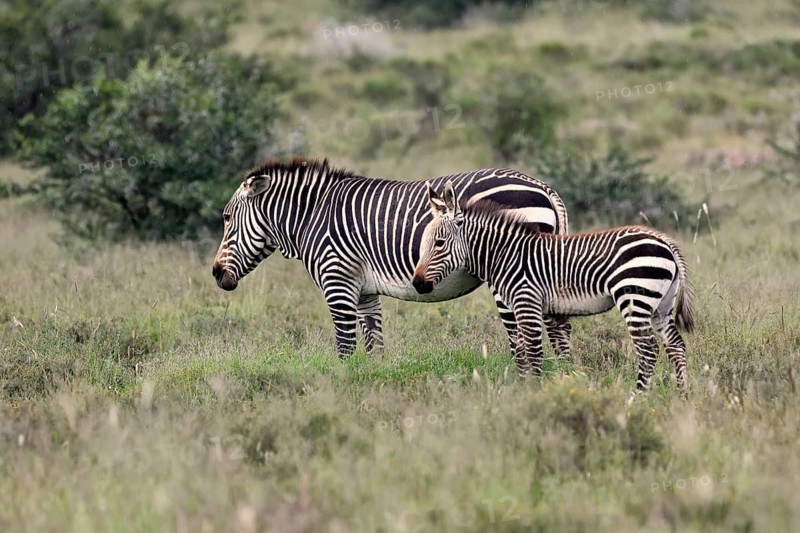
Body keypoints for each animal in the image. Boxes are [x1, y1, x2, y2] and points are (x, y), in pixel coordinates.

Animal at [211, 157, 572, 358]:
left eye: (226, 218)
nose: (215, 273)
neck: (311, 215)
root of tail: (543, 187)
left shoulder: (337, 283)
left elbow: (345, 347)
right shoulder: (364, 292)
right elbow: (374, 348)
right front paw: (371, 390)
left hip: (514, 272)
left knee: (523, 337)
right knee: (559, 331)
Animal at [411, 181, 694, 392]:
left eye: (438, 243)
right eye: (423, 242)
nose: (418, 283)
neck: (504, 254)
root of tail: (666, 242)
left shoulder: (527, 302)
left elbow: (534, 353)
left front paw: (534, 394)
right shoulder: (523, 307)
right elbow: (523, 351)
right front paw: (525, 390)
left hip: (635, 298)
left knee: (648, 351)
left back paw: (635, 399)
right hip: (661, 305)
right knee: (676, 346)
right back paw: (683, 396)